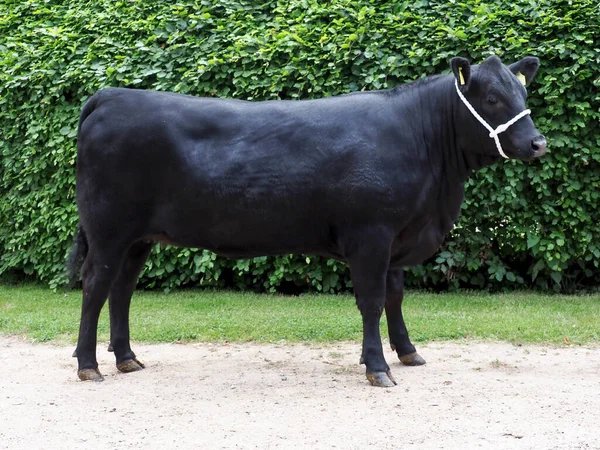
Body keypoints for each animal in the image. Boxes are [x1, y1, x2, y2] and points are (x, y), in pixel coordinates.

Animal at [69, 55, 544, 386]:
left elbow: (394, 297)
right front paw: (377, 366)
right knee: (95, 287)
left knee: (122, 291)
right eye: (492, 98)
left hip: (138, 238)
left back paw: (127, 359)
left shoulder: (397, 238)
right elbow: (371, 301)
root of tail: (112, 95)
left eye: (523, 96)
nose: (538, 143)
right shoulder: (371, 235)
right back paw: (90, 365)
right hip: (108, 231)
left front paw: (407, 352)